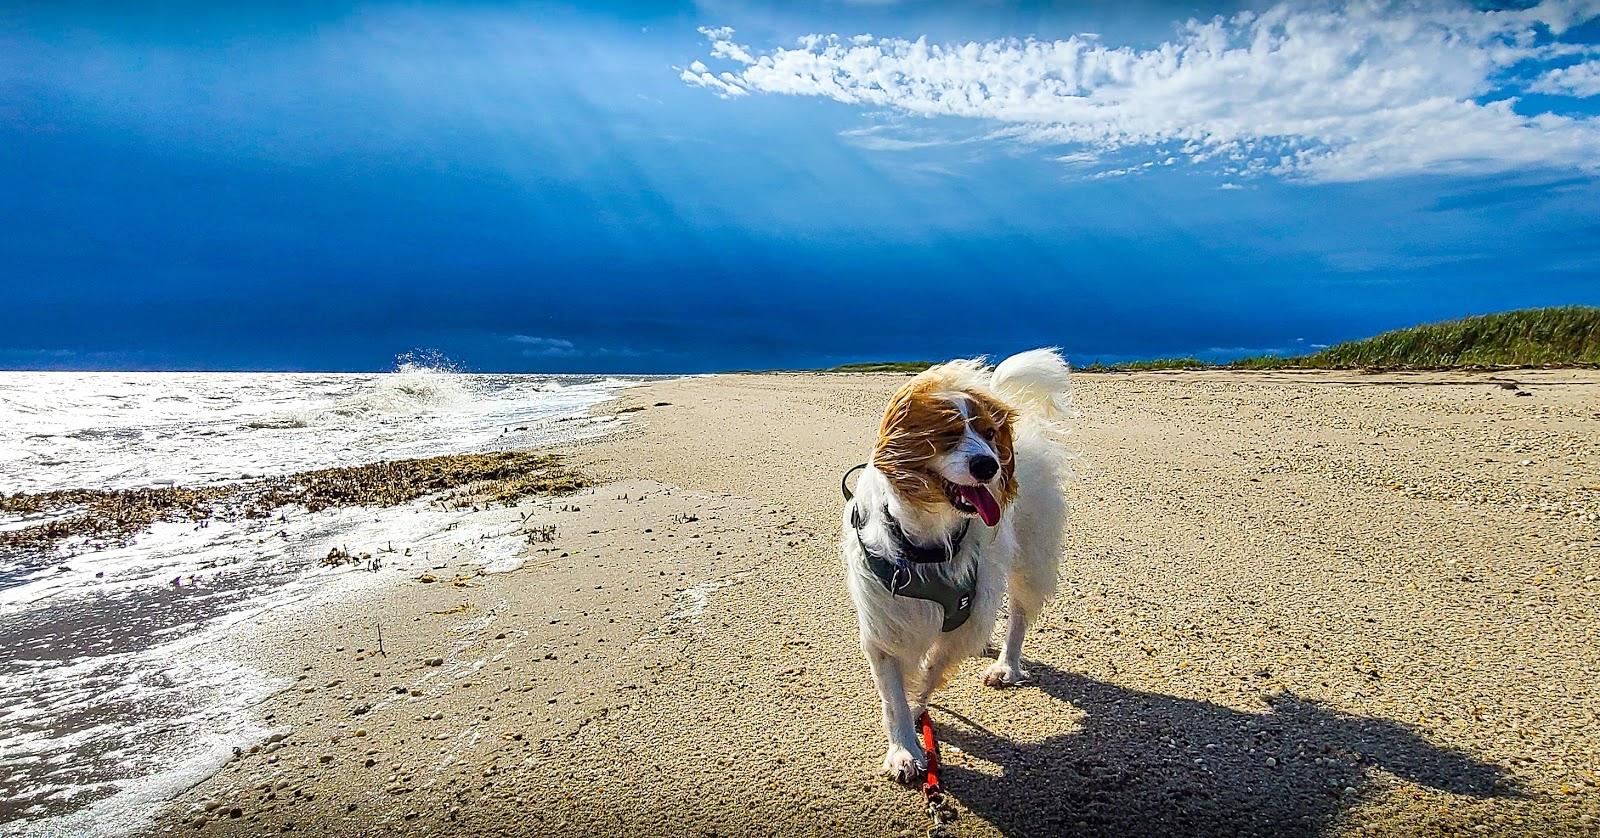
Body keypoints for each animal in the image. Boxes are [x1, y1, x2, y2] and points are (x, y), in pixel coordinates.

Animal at [838, 350, 1075, 783]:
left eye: (989, 434)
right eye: (948, 434)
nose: (989, 466)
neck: (928, 542)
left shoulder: (967, 615)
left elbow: (933, 668)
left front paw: (920, 707)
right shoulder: (883, 626)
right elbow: (892, 697)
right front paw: (904, 749)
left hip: (1030, 560)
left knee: (1019, 616)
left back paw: (1006, 666)